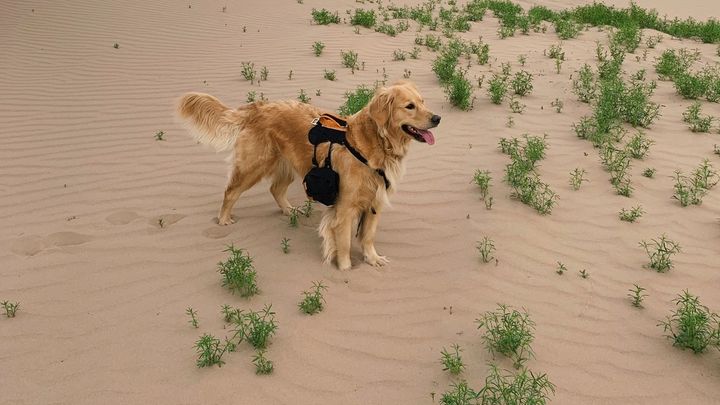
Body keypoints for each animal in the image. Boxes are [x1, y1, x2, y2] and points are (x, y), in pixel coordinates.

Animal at [177, 81, 440, 270]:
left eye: (423, 101)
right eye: (409, 106)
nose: (437, 118)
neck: (373, 144)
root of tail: (257, 107)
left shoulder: (375, 201)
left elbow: (368, 236)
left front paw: (372, 259)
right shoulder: (345, 206)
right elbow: (344, 242)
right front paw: (345, 269)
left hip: (289, 164)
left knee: (275, 189)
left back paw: (289, 210)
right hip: (255, 165)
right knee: (231, 191)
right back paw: (223, 219)